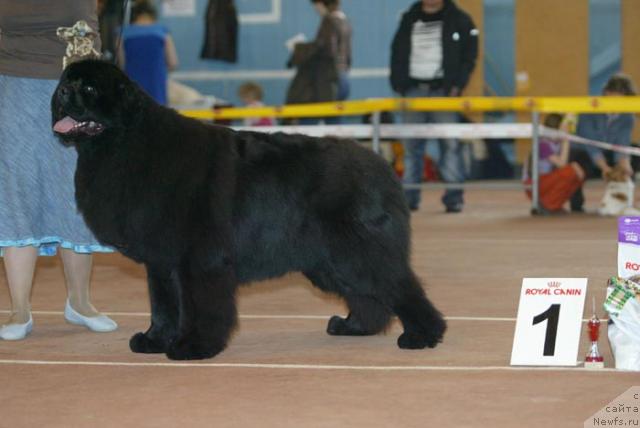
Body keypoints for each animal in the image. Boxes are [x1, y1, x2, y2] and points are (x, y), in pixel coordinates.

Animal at [51, 60, 444, 360]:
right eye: (64, 83)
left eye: (89, 89)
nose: (63, 94)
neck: (126, 143)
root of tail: (382, 166)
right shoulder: (162, 263)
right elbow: (163, 306)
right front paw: (154, 340)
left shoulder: (200, 258)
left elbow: (200, 305)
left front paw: (194, 346)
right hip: (330, 260)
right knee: (368, 295)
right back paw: (354, 327)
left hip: (357, 250)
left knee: (399, 285)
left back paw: (423, 335)